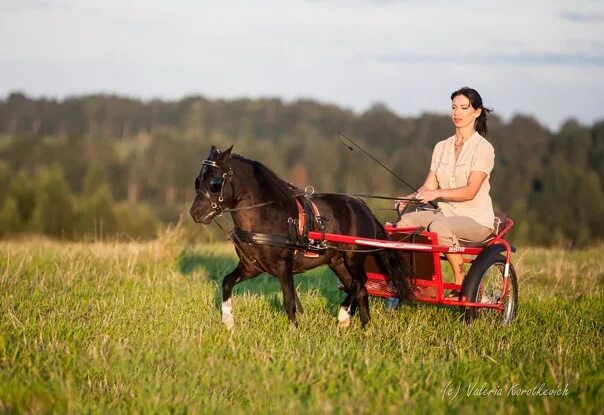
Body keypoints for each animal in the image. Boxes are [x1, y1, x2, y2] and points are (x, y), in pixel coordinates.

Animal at [191, 145, 412, 330]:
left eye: (215, 183)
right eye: (198, 181)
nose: (195, 213)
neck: (266, 215)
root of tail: (364, 208)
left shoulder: (283, 267)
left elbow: (289, 301)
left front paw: (294, 331)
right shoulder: (251, 266)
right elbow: (227, 282)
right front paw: (228, 321)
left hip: (353, 257)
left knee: (360, 282)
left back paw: (343, 315)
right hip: (338, 261)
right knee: (359, 289)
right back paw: (364, 327)